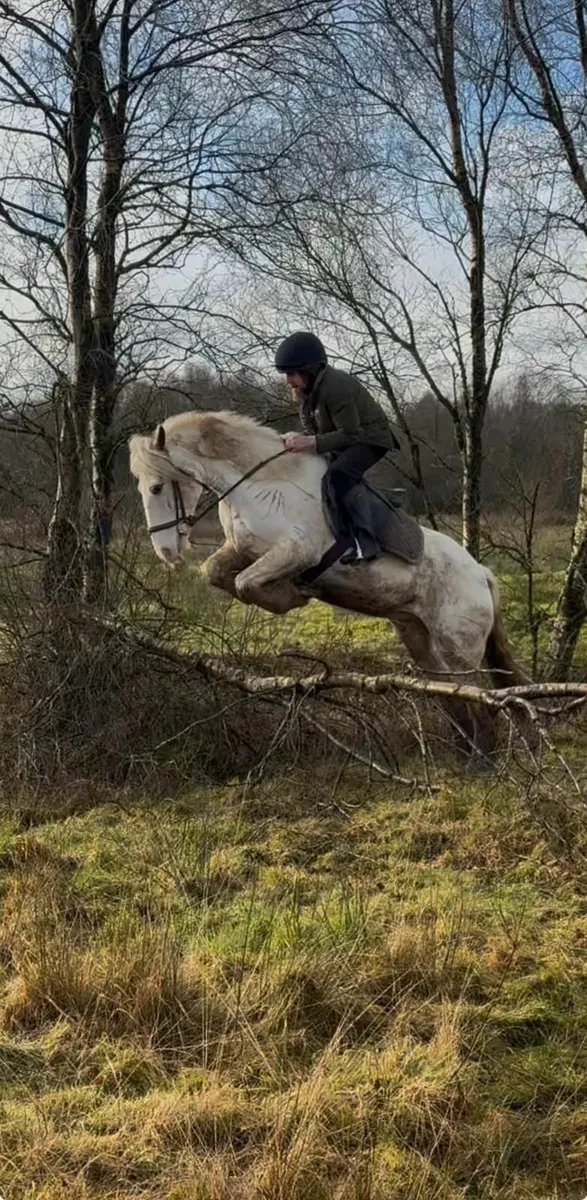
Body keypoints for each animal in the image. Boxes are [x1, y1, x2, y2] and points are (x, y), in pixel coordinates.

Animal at [129, 409, 522, 693]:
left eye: (157, 487)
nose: (166, 553)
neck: (258, 484)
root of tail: (482, 574)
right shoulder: (242, 550)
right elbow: (216, 572)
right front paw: (289, 592)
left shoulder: (297, 551)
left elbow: (245, 583)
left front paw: (293, 595)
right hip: (421, 638)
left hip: (459, 648)